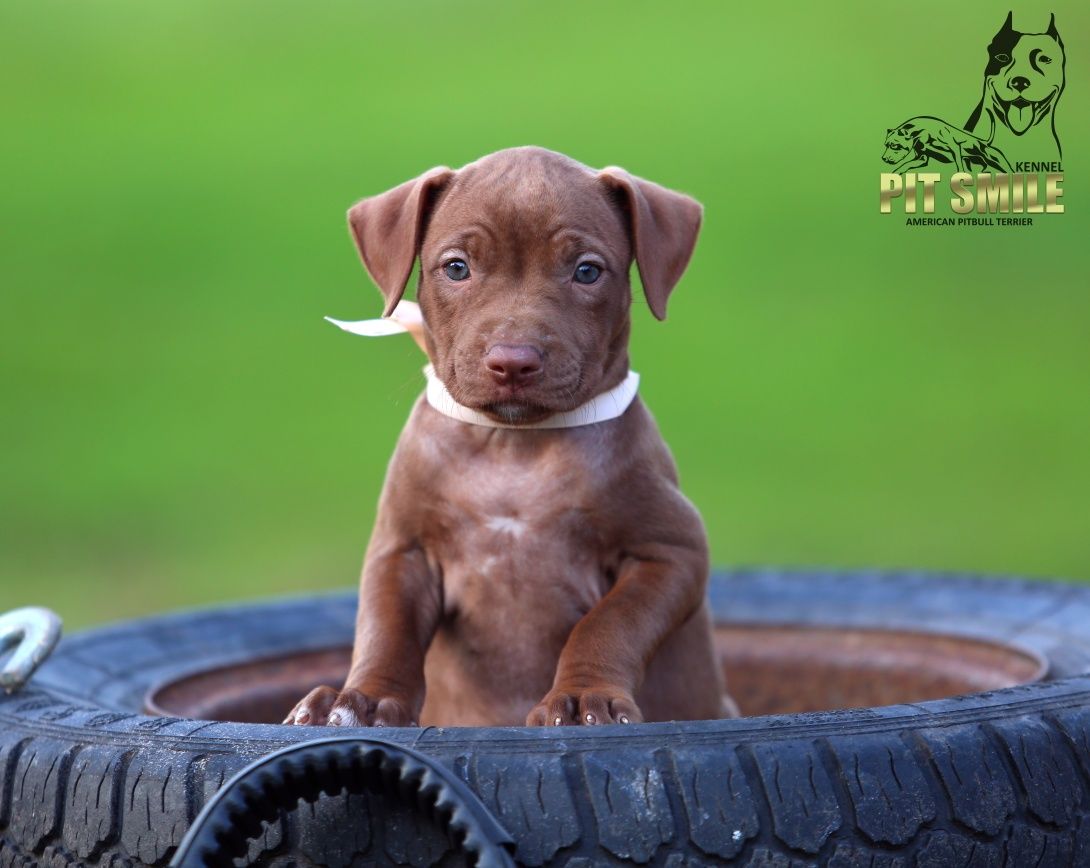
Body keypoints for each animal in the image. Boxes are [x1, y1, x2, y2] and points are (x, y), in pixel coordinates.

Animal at [285, 147, 728, 724]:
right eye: (457, 268)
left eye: (587, 271)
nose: (513, 362)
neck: (513, 447)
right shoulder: (402, 552)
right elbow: (386, 632)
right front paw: (360, 700)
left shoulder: (670, 551)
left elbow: (608, 623)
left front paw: (583, 696)